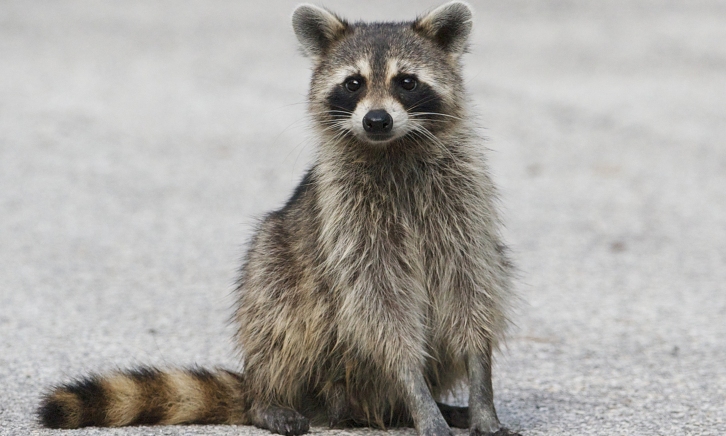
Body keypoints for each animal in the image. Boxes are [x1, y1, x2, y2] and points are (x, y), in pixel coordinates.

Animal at [38, 3, 516, 436]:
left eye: (407, 82)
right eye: (354, 83)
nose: (376, 120)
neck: (392, 148)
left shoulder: (463, 206)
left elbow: (473, 289)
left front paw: (480, 389)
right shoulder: (349, 221)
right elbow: (379, 306)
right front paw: (415, 390)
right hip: (278, 261)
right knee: (279, 312)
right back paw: (274, 399)